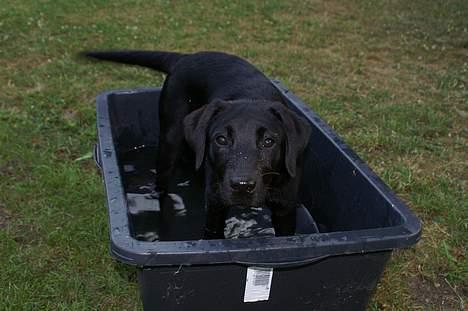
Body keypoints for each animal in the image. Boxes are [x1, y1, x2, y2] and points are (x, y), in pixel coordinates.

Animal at [84, 51, 310, 239]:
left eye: (268, 142)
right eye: (221, 139)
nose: (242, 186)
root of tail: (186, 56)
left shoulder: (285, 210)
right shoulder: (216, 209)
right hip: (169, 142)